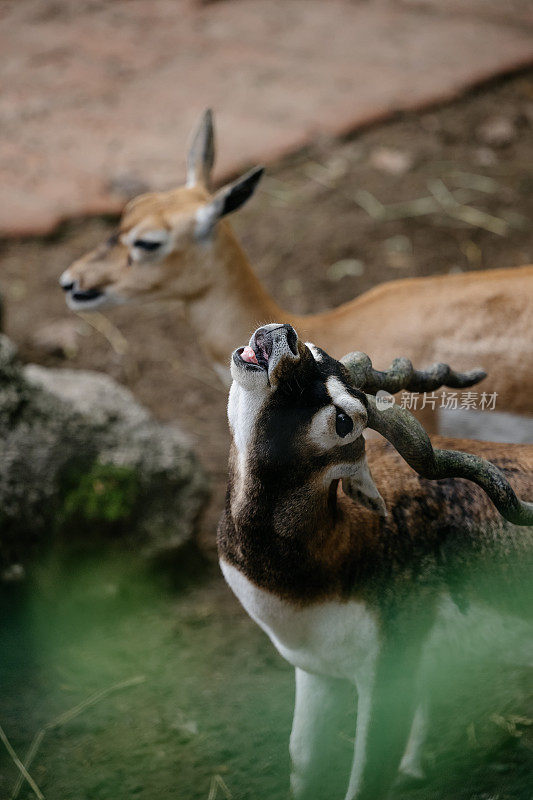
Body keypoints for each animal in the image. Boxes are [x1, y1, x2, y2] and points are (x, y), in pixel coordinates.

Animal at [217, 324, 532, 800]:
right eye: (313, 350)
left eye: (343, 421)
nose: (285, 334)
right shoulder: (317, 674)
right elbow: (303, 761)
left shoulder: (386, 681)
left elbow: (365, 780)